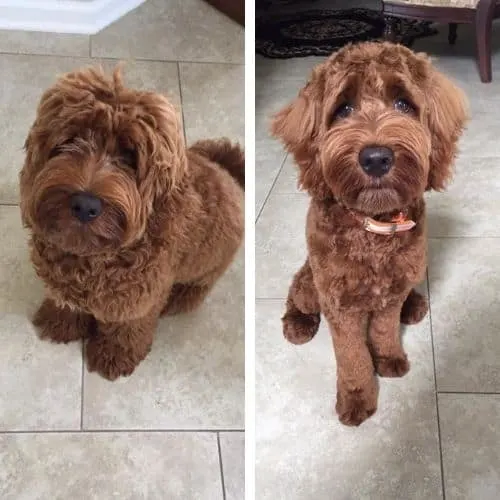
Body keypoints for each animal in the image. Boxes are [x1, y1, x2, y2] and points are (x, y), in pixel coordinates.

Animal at [20, 66, 243, 378]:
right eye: (70, 140)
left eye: (129, 156)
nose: (85, 205)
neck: (93, 256)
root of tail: (232, 173)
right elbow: (66, 302)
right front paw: (59, 322)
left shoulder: (140, 300)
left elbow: (127, 329)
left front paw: (114, 356)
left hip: (204, 273)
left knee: (194, 290)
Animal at [272, 42, 466, 426]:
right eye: (343, 109)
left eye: (404, 104)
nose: (376, 158)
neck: (373, 229)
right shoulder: (340, 306)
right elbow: (353, 356)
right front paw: (357, 397)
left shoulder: (390, 296)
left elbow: (383, 331)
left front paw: (388, 360)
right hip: (311, 283)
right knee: (297, 291)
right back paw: (297, 323)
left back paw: (415, 304)